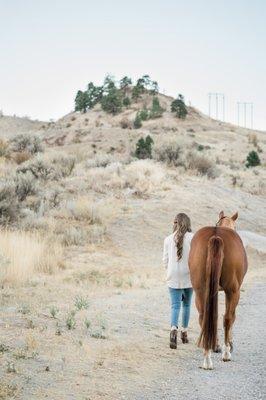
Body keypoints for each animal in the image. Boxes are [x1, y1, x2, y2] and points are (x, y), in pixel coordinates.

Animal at [189, 211, 247, 370]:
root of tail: (216, 236)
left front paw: (215, 345)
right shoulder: (233, 291)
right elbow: (231, 317)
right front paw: (230, 345)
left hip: (200, 291)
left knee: (205, 317)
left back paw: (207, 357)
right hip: (233, 291)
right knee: (227, 318)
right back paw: (225, 354)